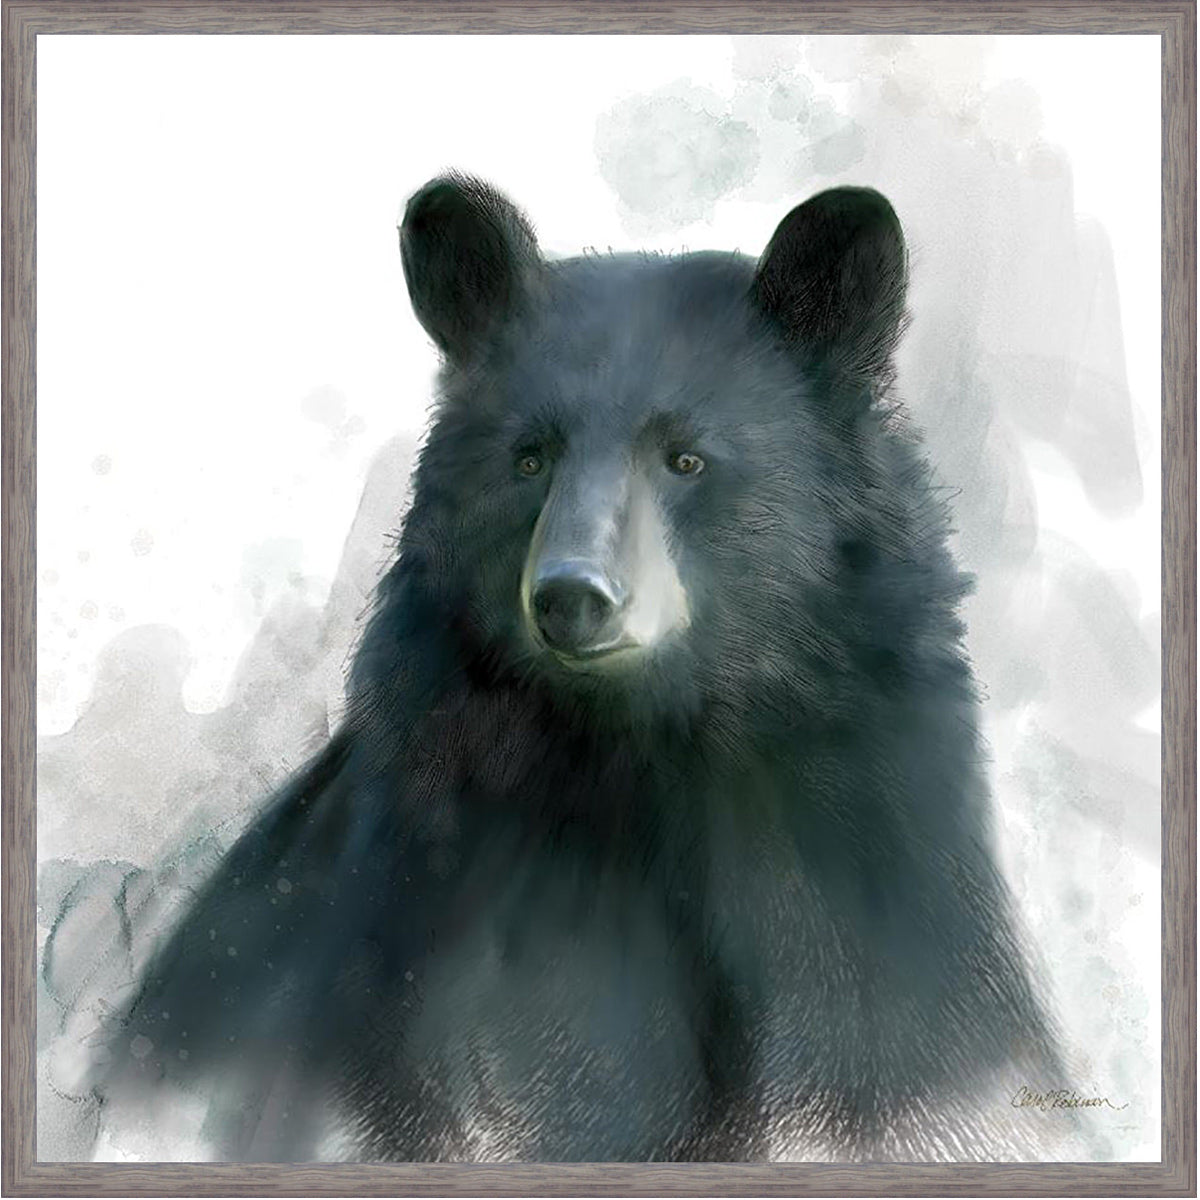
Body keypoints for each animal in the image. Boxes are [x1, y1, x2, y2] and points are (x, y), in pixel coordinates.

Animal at [79, 173, 1089, 1163]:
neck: (654, 754)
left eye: (686, 458)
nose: (572, 595)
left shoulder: (874, 877)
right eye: (530, 458)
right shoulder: (460, 919)